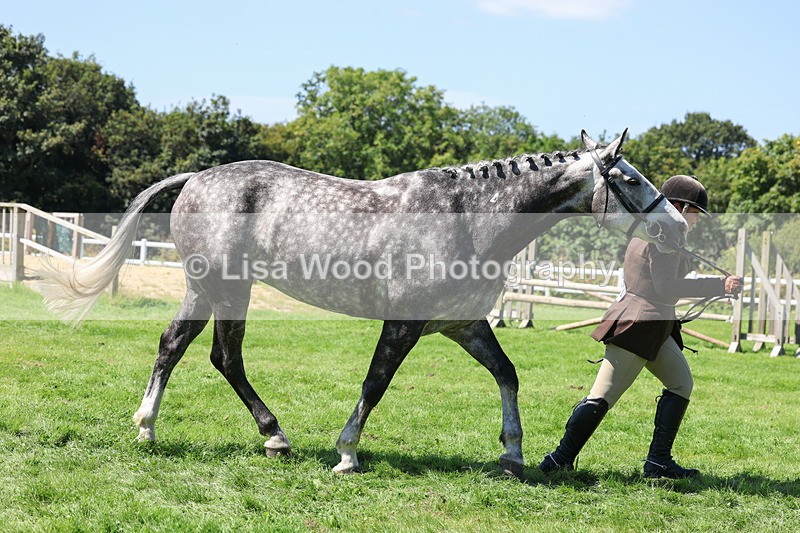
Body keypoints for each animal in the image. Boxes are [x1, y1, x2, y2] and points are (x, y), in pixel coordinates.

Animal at [41, 129, 687, 479]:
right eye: (630, 178)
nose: (677, 226)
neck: (466, 217)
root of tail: (198, 177)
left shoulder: (462, 325)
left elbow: (508, 374)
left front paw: (513, 453)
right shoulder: (402, 324)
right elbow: (375, 384)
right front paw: (347, 453)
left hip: (206, 289)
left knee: (175, 346)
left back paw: (152, 429)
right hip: (228, 287)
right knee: (225, 357)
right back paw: (272, 436)